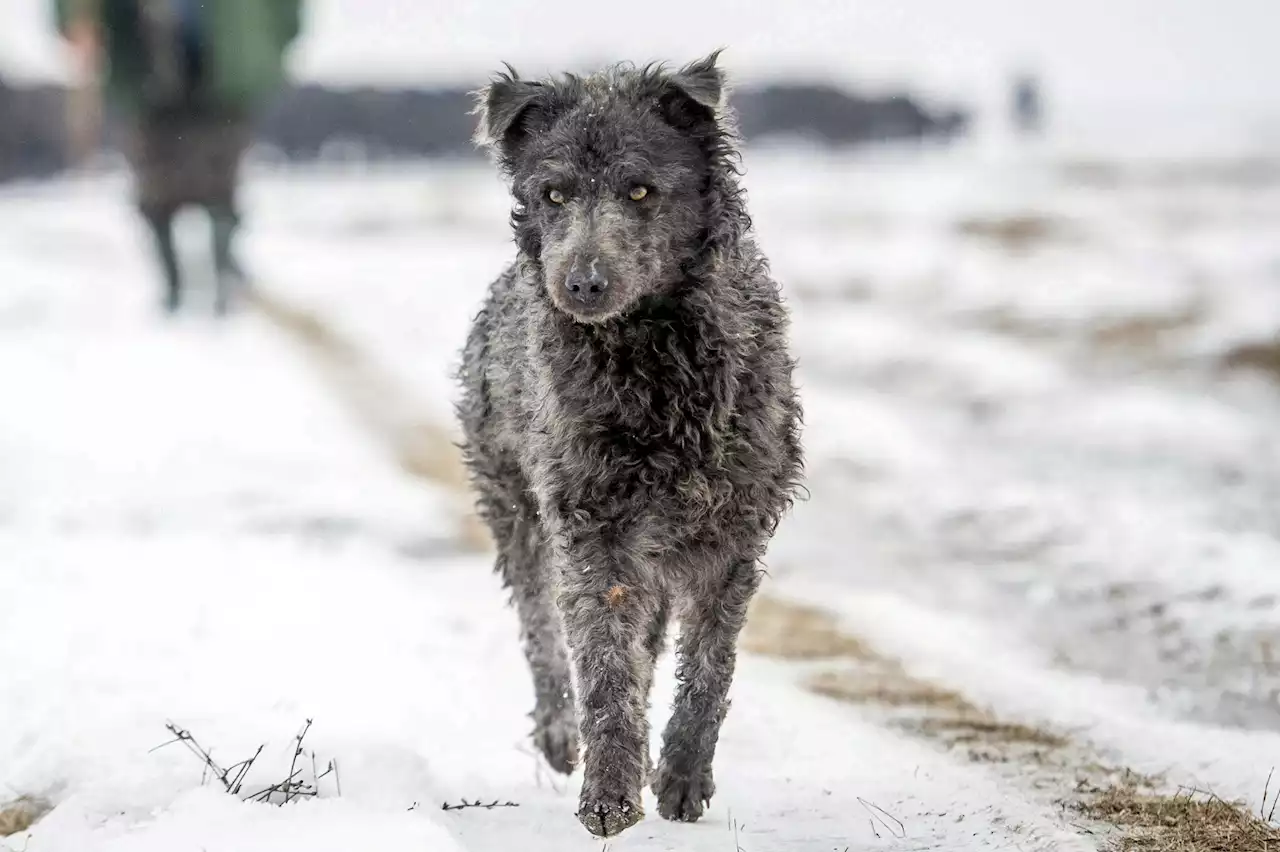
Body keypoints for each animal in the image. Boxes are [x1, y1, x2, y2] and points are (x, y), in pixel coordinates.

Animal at [458, 49, 798, 834]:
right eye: (553, 194)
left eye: (640, 189)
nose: (581, 283)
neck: (652, 355)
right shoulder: (595, 531)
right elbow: (605, 664)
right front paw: (610, 788)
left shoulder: (731, 539)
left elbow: (708, 670)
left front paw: (680, 776)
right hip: (517, 512)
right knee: (542, 631)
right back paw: (562, 734)